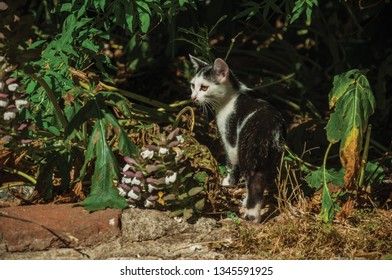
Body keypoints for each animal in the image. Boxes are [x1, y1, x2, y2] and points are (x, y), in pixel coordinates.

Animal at [189, 54, 284, 223]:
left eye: (204, 88)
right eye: (193, 85)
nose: (193, 97)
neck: (229, 100)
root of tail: (270, 126)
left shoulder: (231, 140)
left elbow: (231, 163)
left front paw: (227, 182)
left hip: (248, 151)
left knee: (254, 181)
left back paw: (252, 214)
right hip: (272, 156)